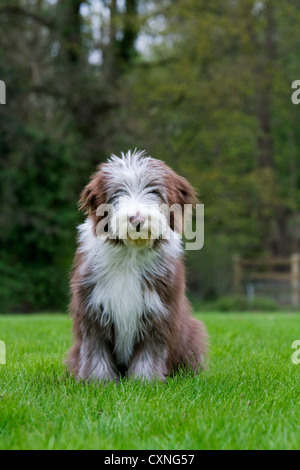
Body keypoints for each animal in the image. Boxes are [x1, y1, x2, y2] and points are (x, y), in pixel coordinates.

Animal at [67, 151, 207, 382]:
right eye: (118, 193)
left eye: (154, 191)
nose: (137, 219)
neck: (131, 253)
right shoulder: (92, 307)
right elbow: (96, 348)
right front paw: (98, 381)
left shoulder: (158, 309)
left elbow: (150, 350)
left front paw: (145, 381)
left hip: (191, 334)